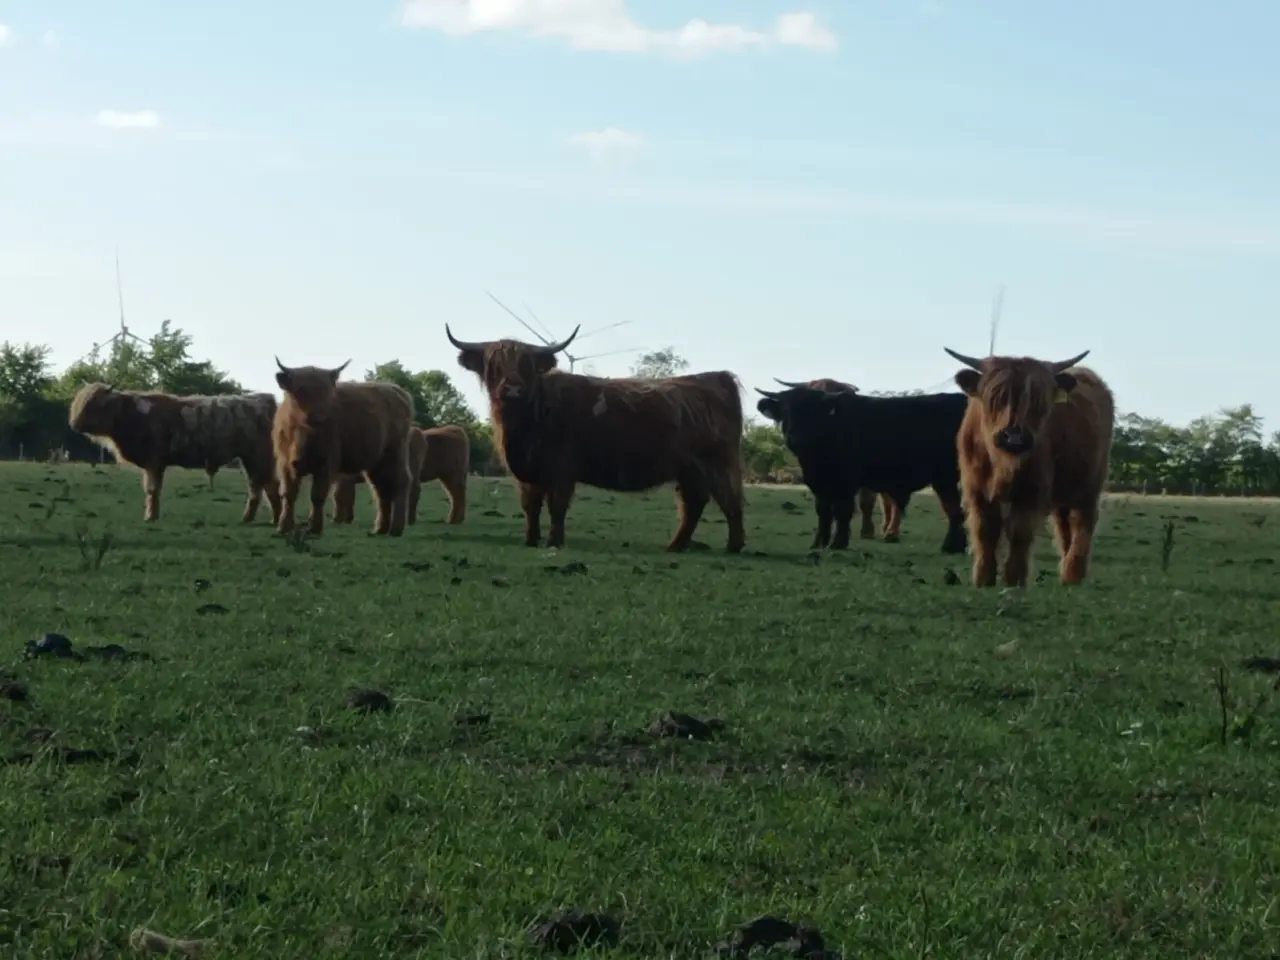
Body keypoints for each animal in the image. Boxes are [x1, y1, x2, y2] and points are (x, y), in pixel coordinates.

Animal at [67, 383, 280, 524]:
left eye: (96, 404)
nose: (74, 425)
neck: (132, 415)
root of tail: (263, 399)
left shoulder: (154, 461)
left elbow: (152, 489)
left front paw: (150, 517)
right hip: (251, 459)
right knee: (261, 486)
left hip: (258, 456)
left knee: (263, 486)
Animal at [271, 358, 414, 537]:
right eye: (300, 389)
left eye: (328, 391)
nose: (319, 417)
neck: (303, 432)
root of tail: (398, 391)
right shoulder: (284, 464)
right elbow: (288, 494)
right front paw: (283, 527)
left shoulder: (326, 463)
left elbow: (317, 496)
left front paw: (314, 528)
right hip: (376, 461)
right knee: (380, 489)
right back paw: (379, 529)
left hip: (396, 452)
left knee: (401, 482)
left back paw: (396, 529)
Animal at [332, 424, 470, 526]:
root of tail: (455, 430)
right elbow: (348, 497)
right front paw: (347, 518)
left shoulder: (344, 478)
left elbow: (340, 497)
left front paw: (338, 519)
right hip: (448, 476)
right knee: (455, 494)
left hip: (450, 474)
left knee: (454, 494)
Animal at [445, 326, 746, 552]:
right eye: (493, 366)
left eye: (527, 366)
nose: (513, 390)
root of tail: (717, 377)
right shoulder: (527, 473)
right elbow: (531, 506)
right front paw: (530, 540)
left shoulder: (561, 469)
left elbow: (557, 506)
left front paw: (554, 542)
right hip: (689, 470)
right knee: (694, 503)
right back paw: (675, 545)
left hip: (717, 464)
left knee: (730, 500)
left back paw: (734, 546)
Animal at [945, 347, 1115, 587]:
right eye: (995, 397)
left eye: (1038, 401)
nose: (1014, 437)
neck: (1003, 464)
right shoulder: (975, 488)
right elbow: (984, 530)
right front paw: (983, 578)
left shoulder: (1031, 489)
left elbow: (1019, 532)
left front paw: (1014, 579)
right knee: (1064, 525)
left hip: (1090, 486)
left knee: (1082, 522)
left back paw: (1073, 573)